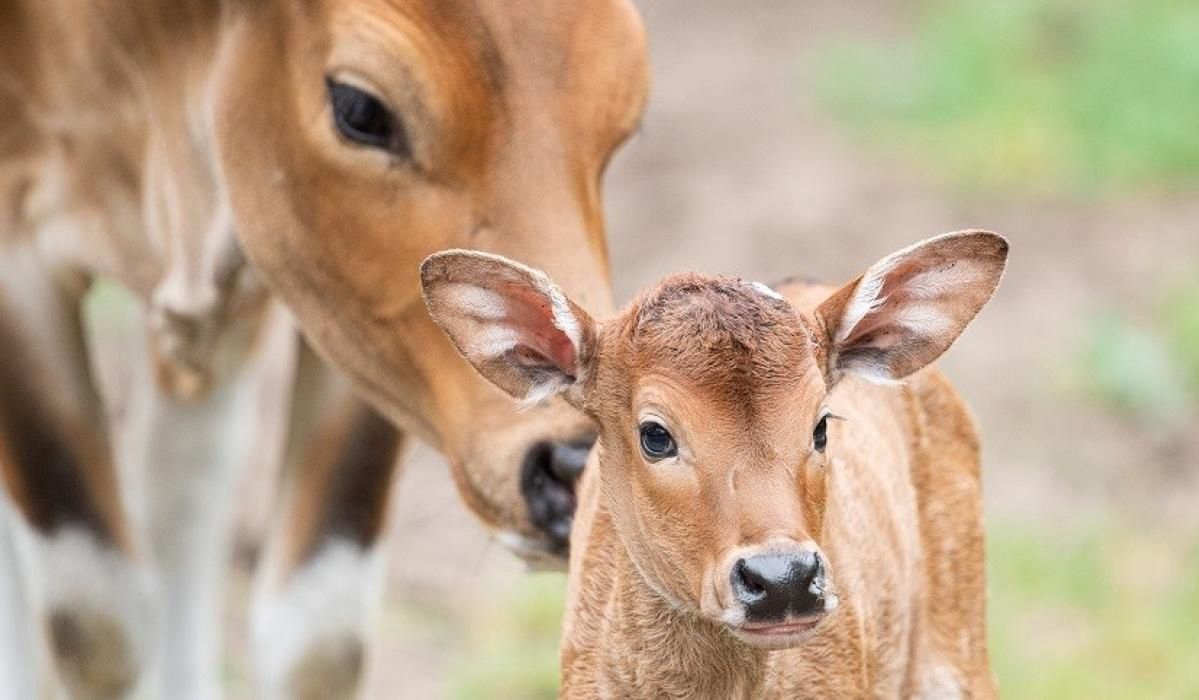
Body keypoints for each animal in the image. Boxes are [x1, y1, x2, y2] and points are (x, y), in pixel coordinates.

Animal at [0, 2, 647, 695]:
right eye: (359, 107)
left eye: (625, 117)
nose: (575, 468)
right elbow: (95, 620)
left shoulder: (357, 326)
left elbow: (317, 637)